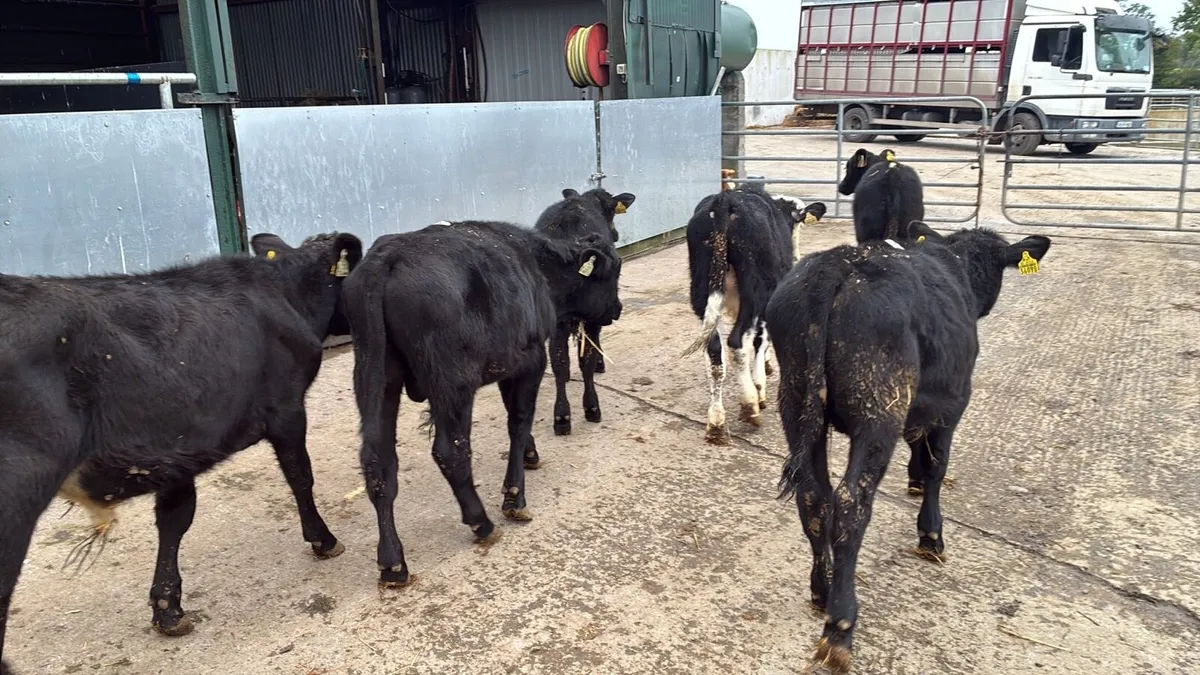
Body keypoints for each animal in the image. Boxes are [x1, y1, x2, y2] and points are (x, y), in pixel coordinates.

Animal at [0, 232, 363, 671]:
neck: (284, 291)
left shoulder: (178, 447)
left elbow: (175, 519)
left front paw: (168, 609)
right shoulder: (286, 408)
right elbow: (300, 476)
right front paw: (323, 539)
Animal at [342, 220, 622, 588]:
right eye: (615, 271)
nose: (617, 309)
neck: (537, 265)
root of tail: (388, 256)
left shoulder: (509, 365)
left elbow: (515, 415)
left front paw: (531, 454)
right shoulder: (531, 358)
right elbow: (519, 420)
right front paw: (514, 496)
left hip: (375, 377)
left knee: (378, 463)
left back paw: (392, 562)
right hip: (452, 383)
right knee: (451, 452)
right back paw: (481, 521)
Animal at [533, 187, 635, 435]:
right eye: (611, 212)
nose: (618, 309)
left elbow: (580, 360)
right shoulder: (568, 322)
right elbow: (566, 362)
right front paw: (569, 413)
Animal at [681, 183, 827, 444]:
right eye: (798, 220)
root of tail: (725, 201)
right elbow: (761, 340)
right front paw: (759, 386)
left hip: (701, 293)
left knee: (715, 354)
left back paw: (716, 422)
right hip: (754, 292)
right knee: (736, 344)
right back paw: (749, 405)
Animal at [764, 222, 1052, 672]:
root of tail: (838, 264)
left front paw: (913, 480)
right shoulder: (953, 401)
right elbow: (937, 465)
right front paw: (931, 533)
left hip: (794, 401)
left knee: (814, 497)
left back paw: (821, 590)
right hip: (878, 408)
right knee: (851, 502)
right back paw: (840, 627)